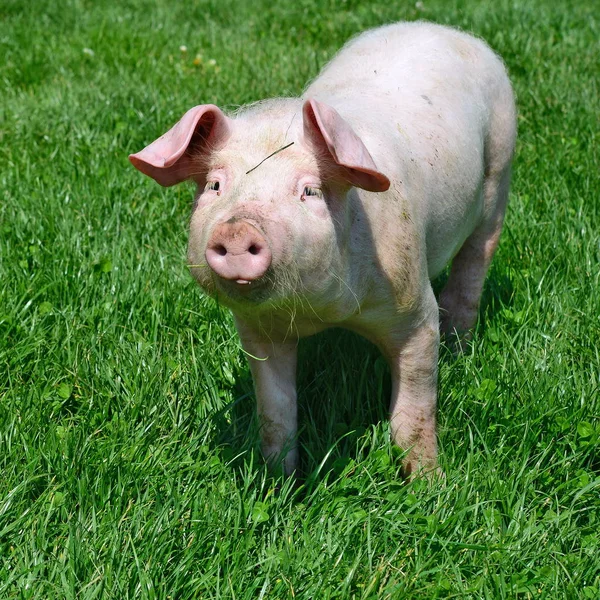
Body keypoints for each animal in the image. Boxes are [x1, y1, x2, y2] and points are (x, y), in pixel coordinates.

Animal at [130, 19, 516, 478]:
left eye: (309, 191)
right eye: (215, 185)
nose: (239, 227)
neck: (322, 312)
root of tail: (442, 29)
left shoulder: (414, 305)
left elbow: (413, 413)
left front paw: (430, 483)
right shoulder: (258, 330)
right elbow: (276, 414)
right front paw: (279, 481)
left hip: (500, 167)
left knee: (474, 263)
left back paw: (460, 348)